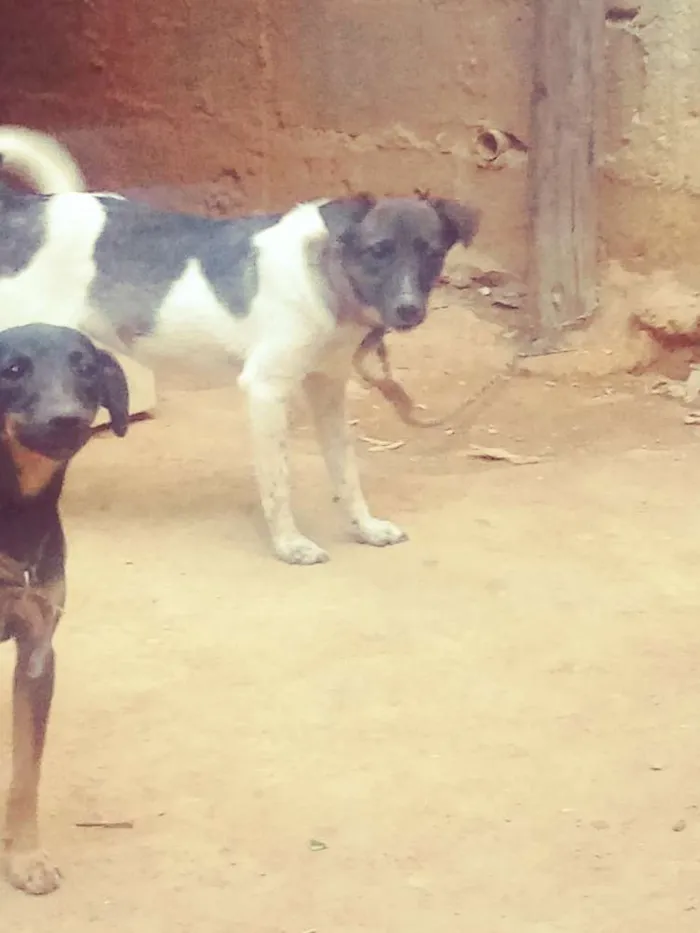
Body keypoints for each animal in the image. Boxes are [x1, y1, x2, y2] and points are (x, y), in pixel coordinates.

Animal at [0, 123, 482, 560]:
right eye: (378, 251)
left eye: (432, 254)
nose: (409, 311)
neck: (326, 275)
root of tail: (21, 211)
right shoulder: (267, 389)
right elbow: (279, 481)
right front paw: (290, 545)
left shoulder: (328, 388)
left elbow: (346, 470)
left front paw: (365, 528)